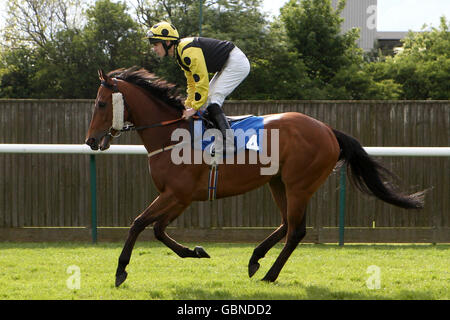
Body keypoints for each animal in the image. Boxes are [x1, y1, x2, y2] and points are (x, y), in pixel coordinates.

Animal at [85, 65, 426, 288]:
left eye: (101, 103)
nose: (91, 141)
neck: (172, 134)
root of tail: (328, 130)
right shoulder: (181, 197)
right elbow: (157, 229)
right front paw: (196, 251)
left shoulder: (176, 194)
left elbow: (139, 223)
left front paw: (120, 271)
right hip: (278, 183)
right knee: (286, 224)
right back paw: (255, 259)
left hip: (300, 185)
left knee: (297, 230)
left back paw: (269, 274)